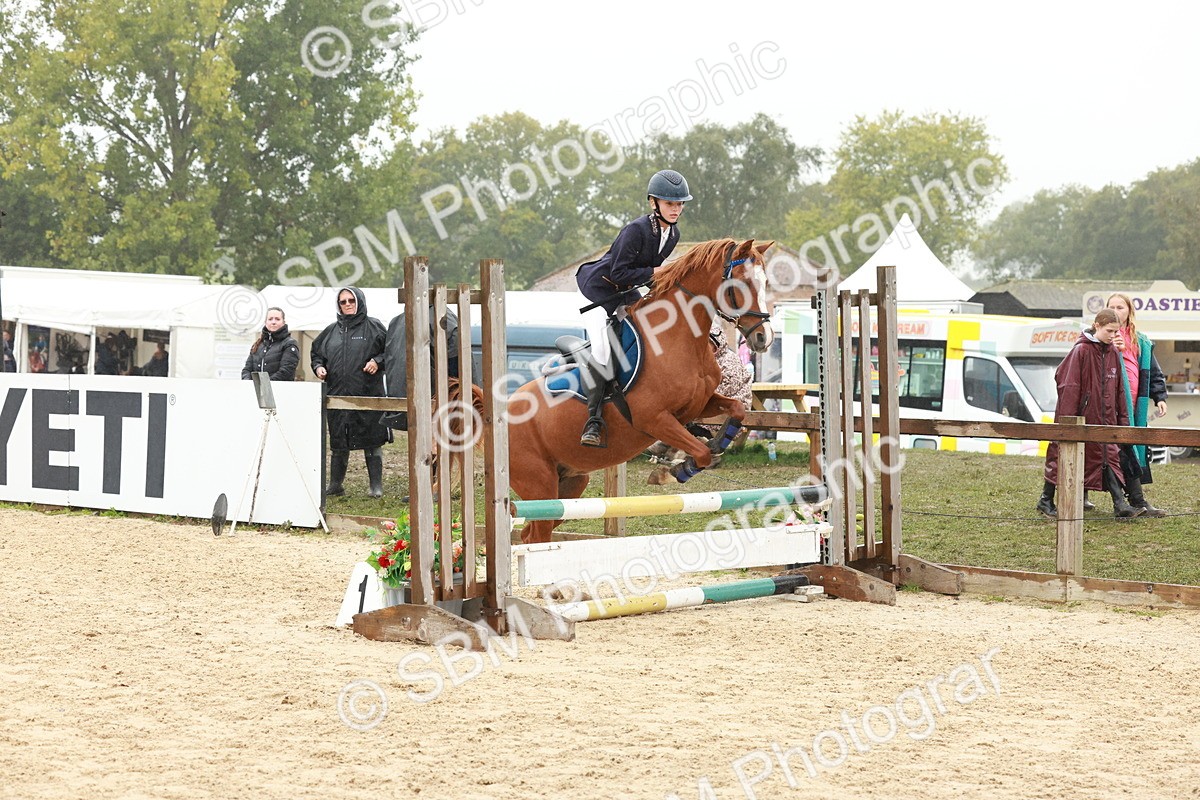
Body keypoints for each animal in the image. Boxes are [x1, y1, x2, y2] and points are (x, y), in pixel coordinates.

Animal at [506, 238, 775, 544]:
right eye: (741, 284)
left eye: (765, 282)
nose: (764, 338)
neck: (677, 337)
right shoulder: (655, 419)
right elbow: (701, 454)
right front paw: (673, 472)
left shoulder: (699, 404)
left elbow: (737, 409)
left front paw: (717, 442)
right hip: (539, 484)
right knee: (536, 535)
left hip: (570, 484)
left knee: (531, 533)